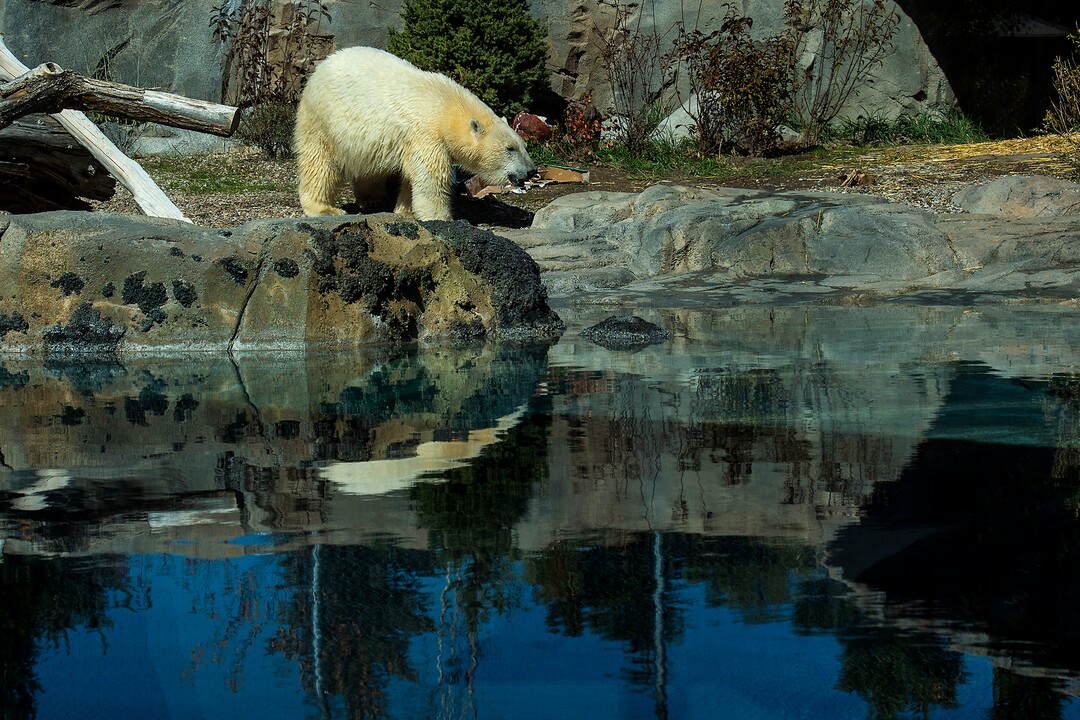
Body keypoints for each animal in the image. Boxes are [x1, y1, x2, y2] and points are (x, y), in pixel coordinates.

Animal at [294, 46, 537, 221]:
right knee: (319, 163)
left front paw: (406, 209)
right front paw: (441, 217)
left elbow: (411, 176)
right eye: (510, 148)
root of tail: (321, 67)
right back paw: (324, 208)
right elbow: (431, 176)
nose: (531, 171)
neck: (446, 108)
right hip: (322, 120)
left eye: (523, 146)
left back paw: (372, 199)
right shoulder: (426, 134)